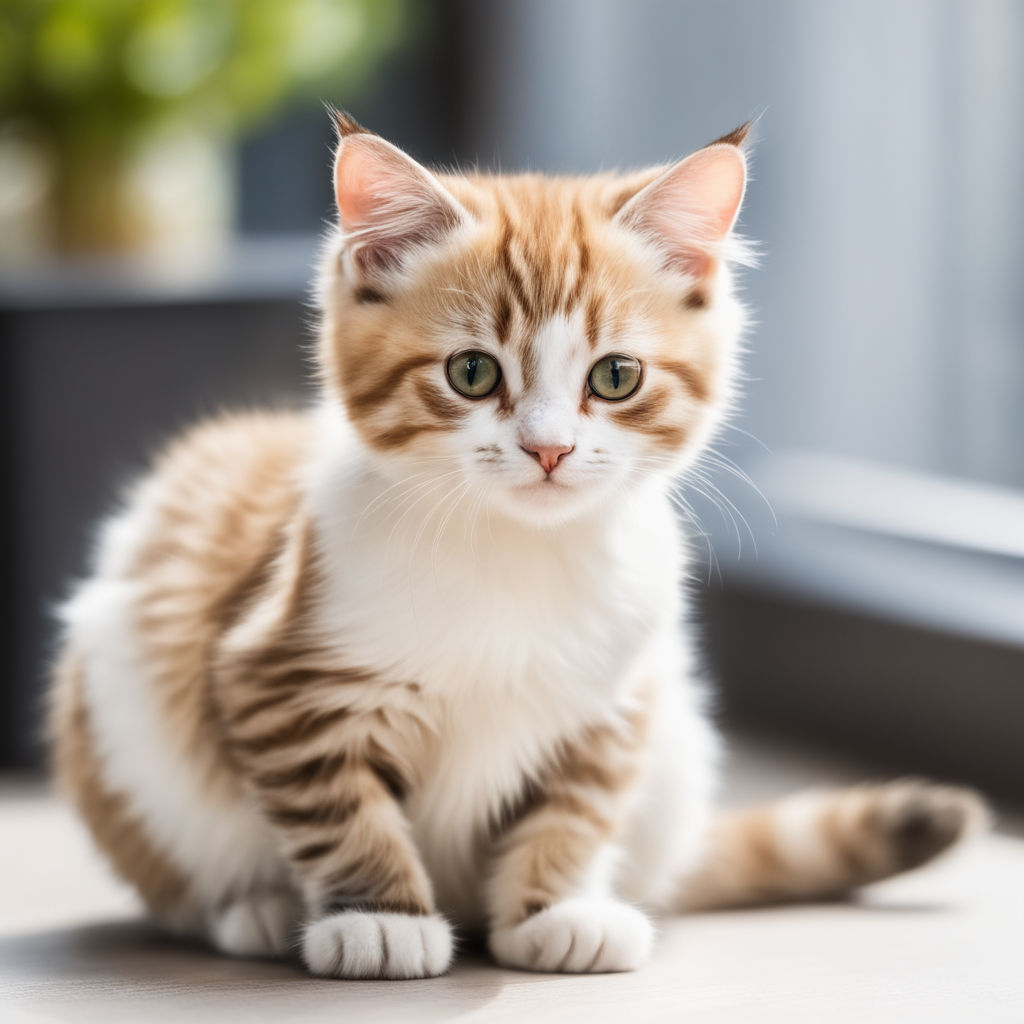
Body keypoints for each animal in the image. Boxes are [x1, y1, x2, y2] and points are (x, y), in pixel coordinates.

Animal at [49, 116, 983, 978]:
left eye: (615, 377)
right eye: (472, 373)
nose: (549, 449)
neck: (517, 553)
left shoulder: (617, 697)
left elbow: (574, 812)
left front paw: (554, 907)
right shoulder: (278, 672)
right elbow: (341, 808)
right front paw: (379, 917)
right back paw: (258, 909)